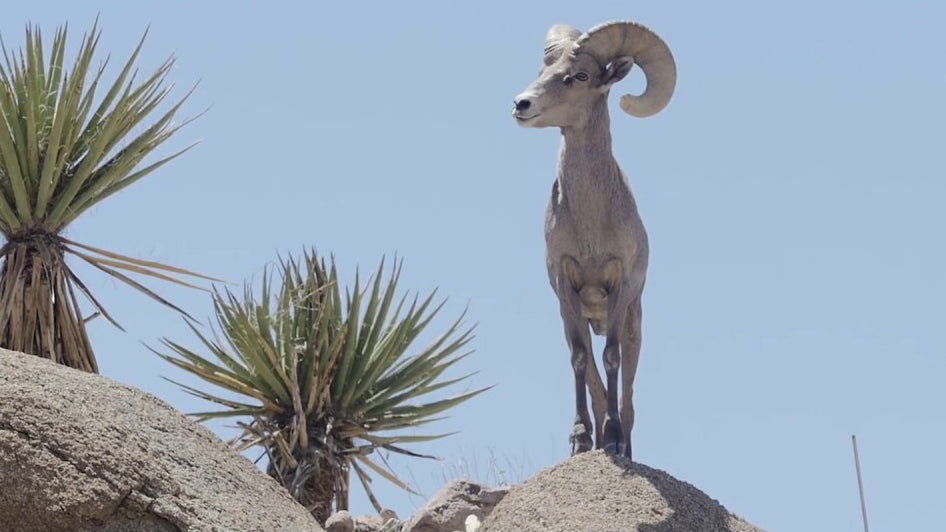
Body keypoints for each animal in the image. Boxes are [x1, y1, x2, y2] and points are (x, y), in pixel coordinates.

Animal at [511, 21, 676, 458]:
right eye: (544, 70)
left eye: (580, 76)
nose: (521, 105)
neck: (590, 228)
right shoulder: (565, 289)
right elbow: (581, 359)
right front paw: (582, 439)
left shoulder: (620, 287)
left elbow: (611, 358)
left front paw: (614, 440)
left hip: (634, 323)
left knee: (628, 391)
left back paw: (623, 445)